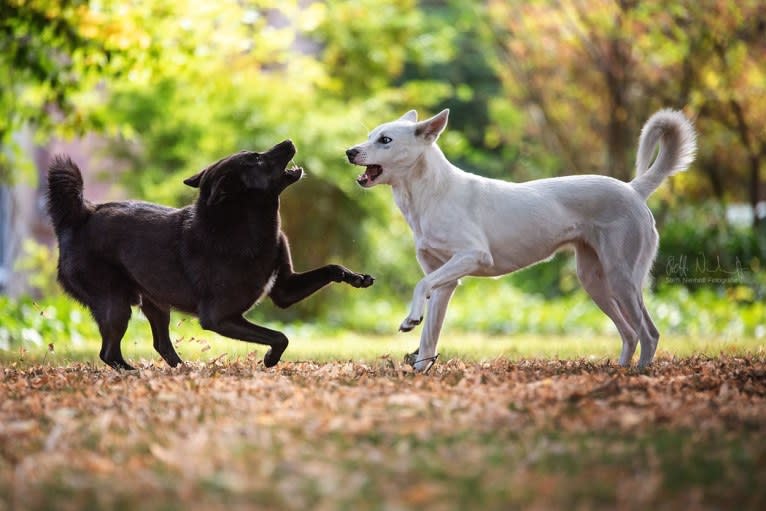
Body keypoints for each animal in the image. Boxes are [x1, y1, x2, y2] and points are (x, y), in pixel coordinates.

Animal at [45, 141, 376, 372]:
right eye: (256, 159)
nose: (288, 141)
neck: (245, 226)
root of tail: (80, 215)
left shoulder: (284, 290)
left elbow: (331, 268)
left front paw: (356, 278)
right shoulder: (219, 318)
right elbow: (280, 336)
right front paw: (270, 360)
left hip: (155, 302)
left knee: (160, 344)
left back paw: (184, 370)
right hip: (115, 305)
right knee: (109, 352)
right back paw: (133, 372)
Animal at [348, 109, 696, 372]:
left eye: (385, 140)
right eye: (371, 135)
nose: (349, 152)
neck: (429, 194)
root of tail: (633, 189)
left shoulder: (472, 256)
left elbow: (420, 287)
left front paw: (411, 318)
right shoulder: (445, 283)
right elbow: (429, 337)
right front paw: (421, 371)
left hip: (621, 278)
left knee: (649, 334)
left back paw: (638, 375)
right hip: (595, 281)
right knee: (630, 333)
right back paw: (621, 371)